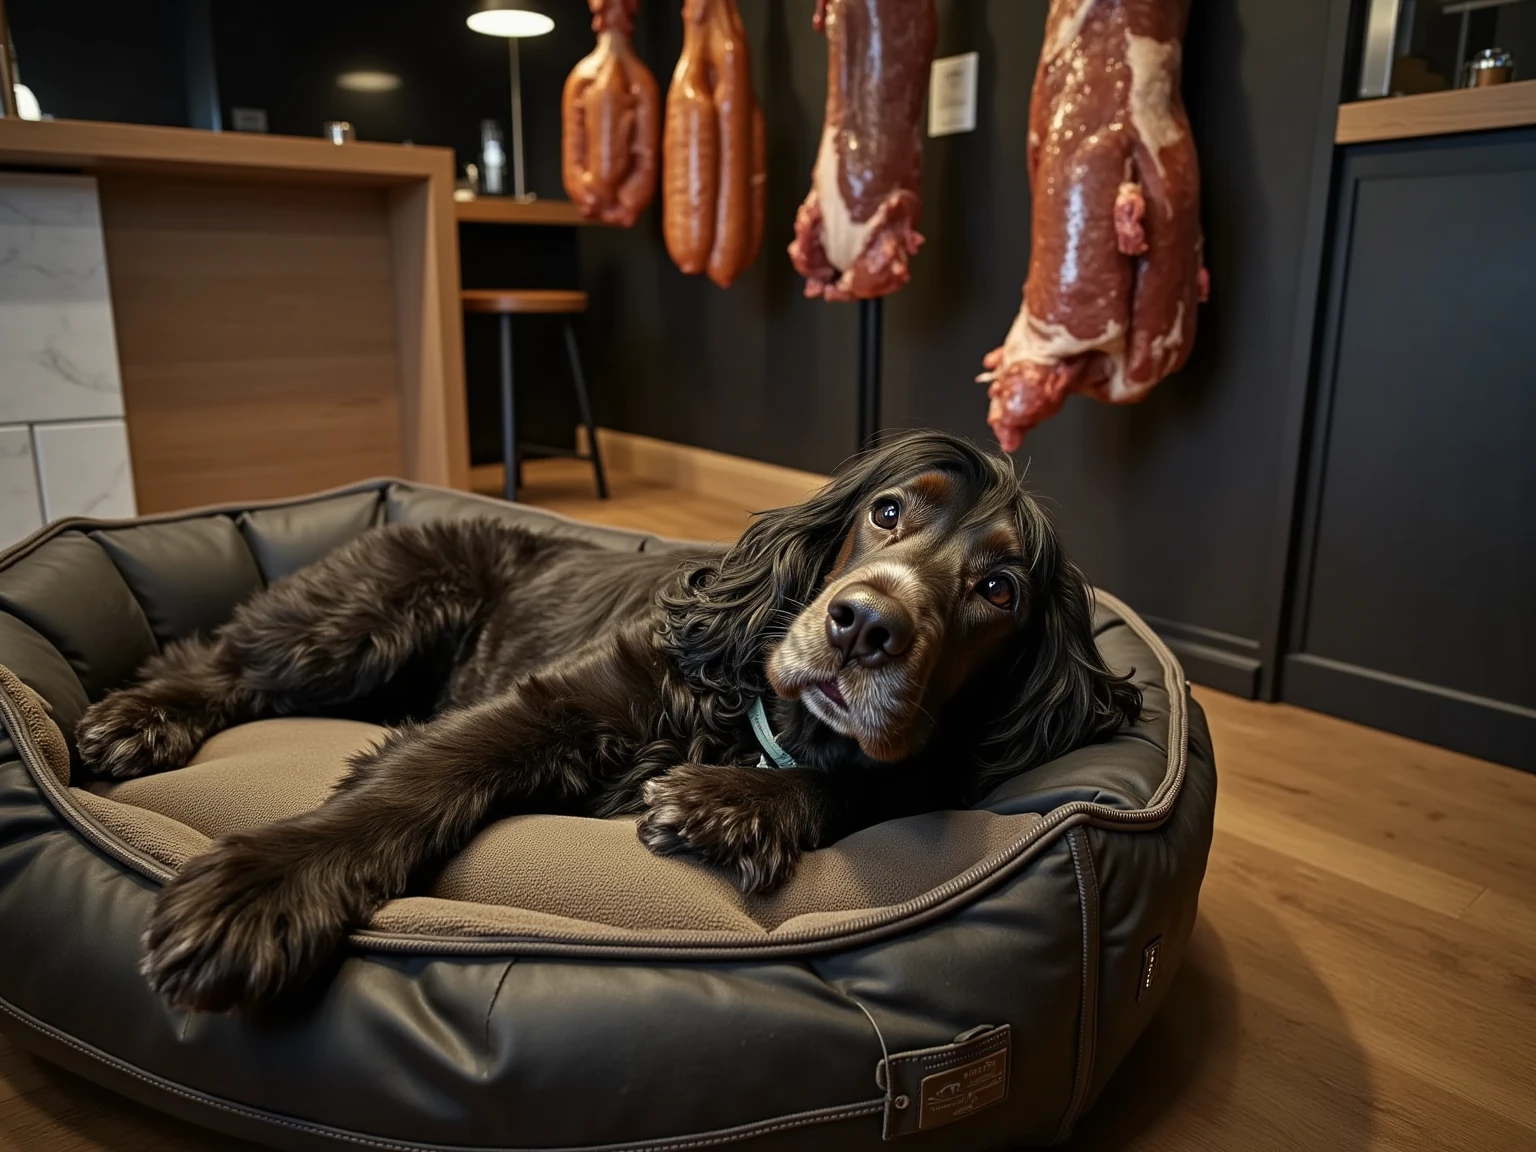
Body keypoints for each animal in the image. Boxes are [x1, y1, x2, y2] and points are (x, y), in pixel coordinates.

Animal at [81, 430, 1142, 1007]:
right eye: (886, 513)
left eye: (999, 589)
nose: (864, 626)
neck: (758, 720)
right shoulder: (555, 703)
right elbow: (413, 784)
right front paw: (258, 894)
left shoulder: (909, 765)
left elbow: (864, 784)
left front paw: (730, 806)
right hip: (369, 614)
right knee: (219, 660)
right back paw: (141, 717)